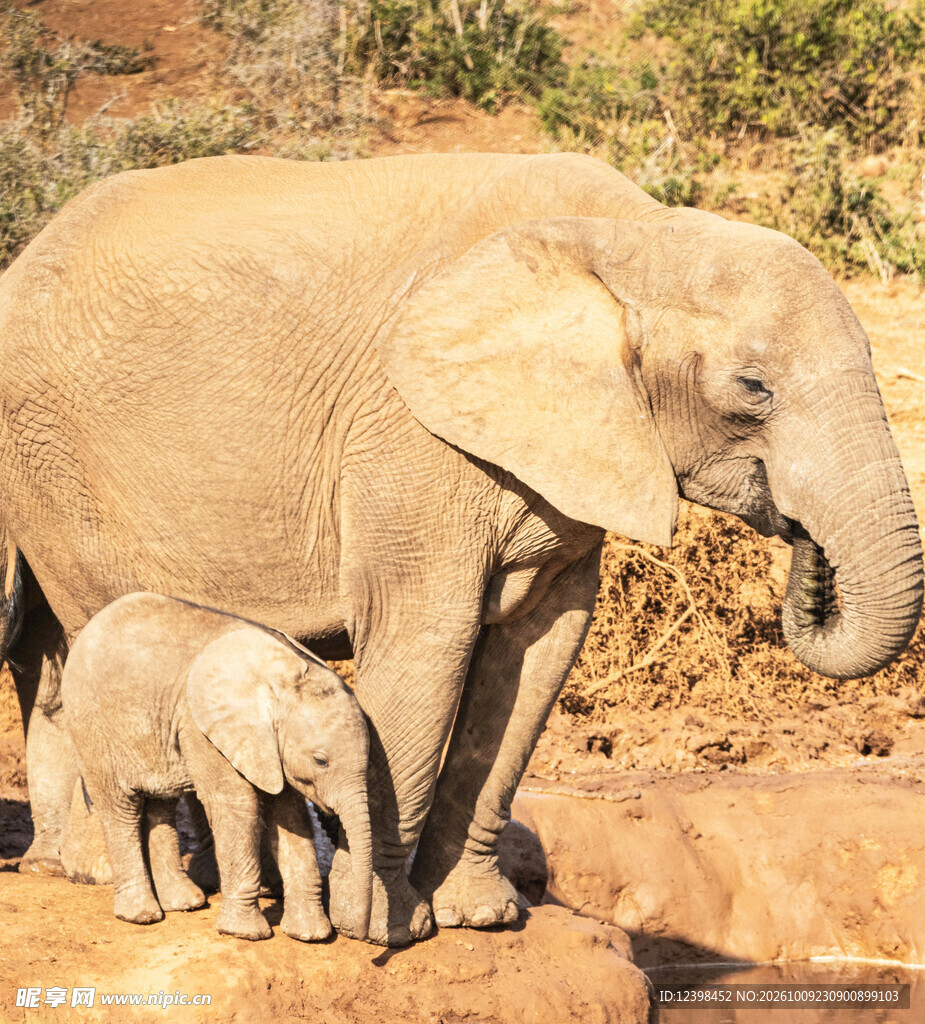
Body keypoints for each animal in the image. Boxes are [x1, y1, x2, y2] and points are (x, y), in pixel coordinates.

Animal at [61, 592, 372, 941]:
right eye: (321, 760)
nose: (359, 934)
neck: (281, 679)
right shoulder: (202, 728)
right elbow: (238, 806)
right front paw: (246, 933)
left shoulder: (265, 746)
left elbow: (289, 813)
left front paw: (311, 935)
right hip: (92, 727)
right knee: (121, 808)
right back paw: (142, 915)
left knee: (160, 805)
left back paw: (184, 903)